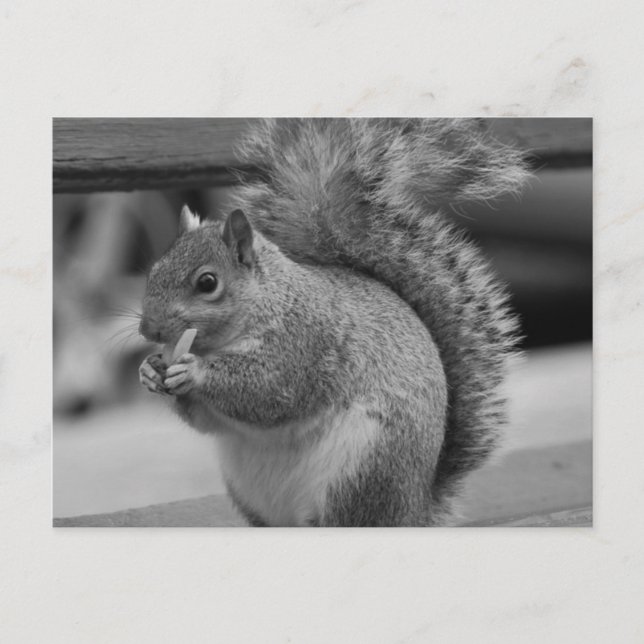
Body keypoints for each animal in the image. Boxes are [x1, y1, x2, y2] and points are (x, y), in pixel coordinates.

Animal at [138, 119, 528, 527]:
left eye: (207, 283)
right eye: (154, 270)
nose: (148, 330)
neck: (269, 300)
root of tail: (416, 509)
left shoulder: (304, 344)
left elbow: (267, 390)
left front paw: (193, 370)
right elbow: (207, 420)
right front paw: (149, 370)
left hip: (362, 469)